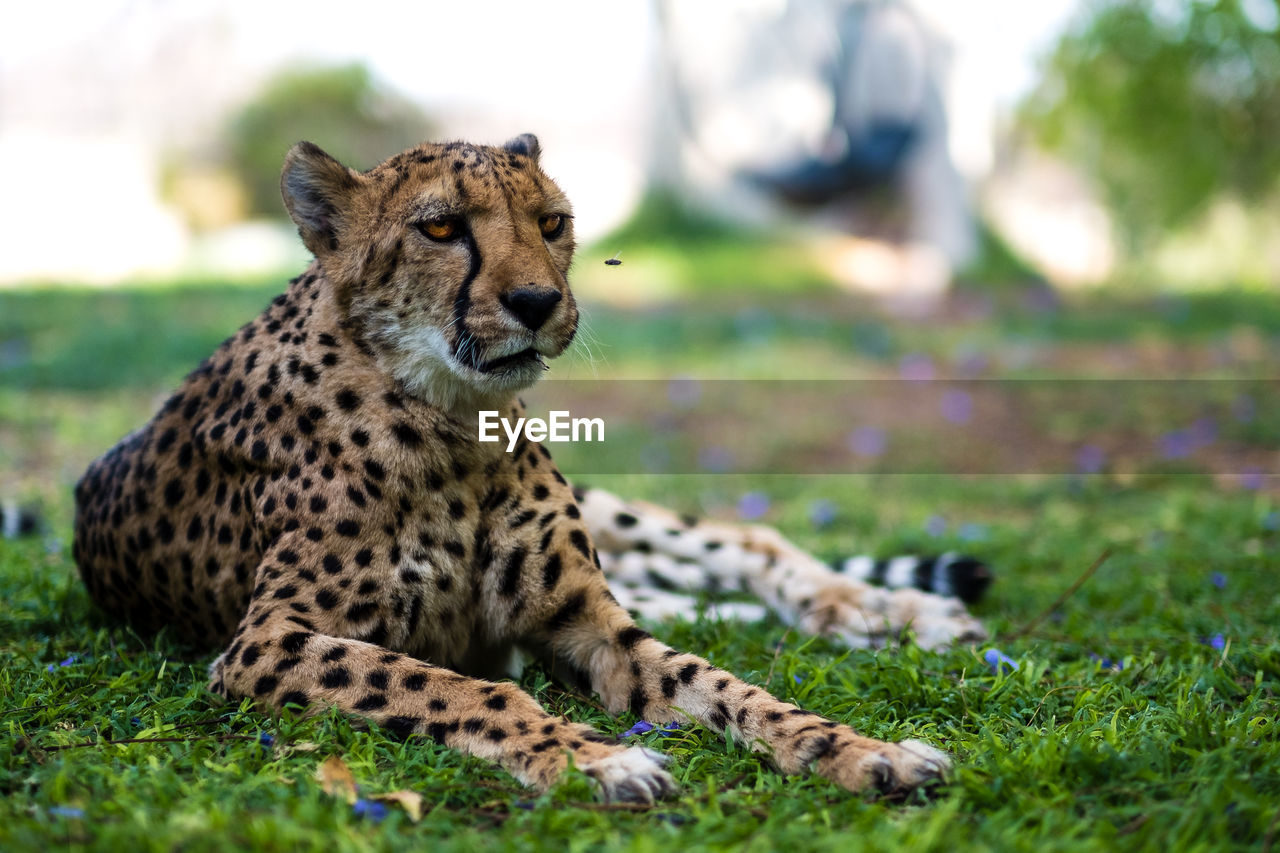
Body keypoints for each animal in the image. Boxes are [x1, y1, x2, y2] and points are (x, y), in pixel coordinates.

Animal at [74, 136, 983, 799]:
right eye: (441, 228)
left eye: (552, 223)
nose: (537, 303)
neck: (455, 422)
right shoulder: (265, 642)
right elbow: (459, 685)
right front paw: (596, 757)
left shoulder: (586, 620)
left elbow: (726, 685)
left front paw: (853, 747)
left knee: (748, 542)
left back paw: (897, 610)